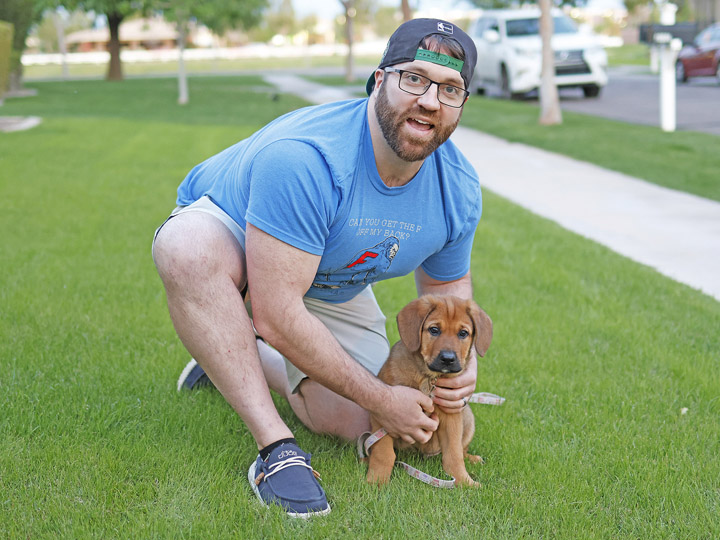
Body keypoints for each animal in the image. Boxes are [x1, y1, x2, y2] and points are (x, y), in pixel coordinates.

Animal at [368, 296, 492, 490]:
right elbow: (383, 451)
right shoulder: (385, 413)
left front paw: (464, 481)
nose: (448, 359)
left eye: (463, 333)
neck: (429, 378)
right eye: (434, 330)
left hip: (467, 417)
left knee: (462, 449)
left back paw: (472, 458)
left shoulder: (451, 416)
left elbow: (454, 454)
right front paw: (377, 480)